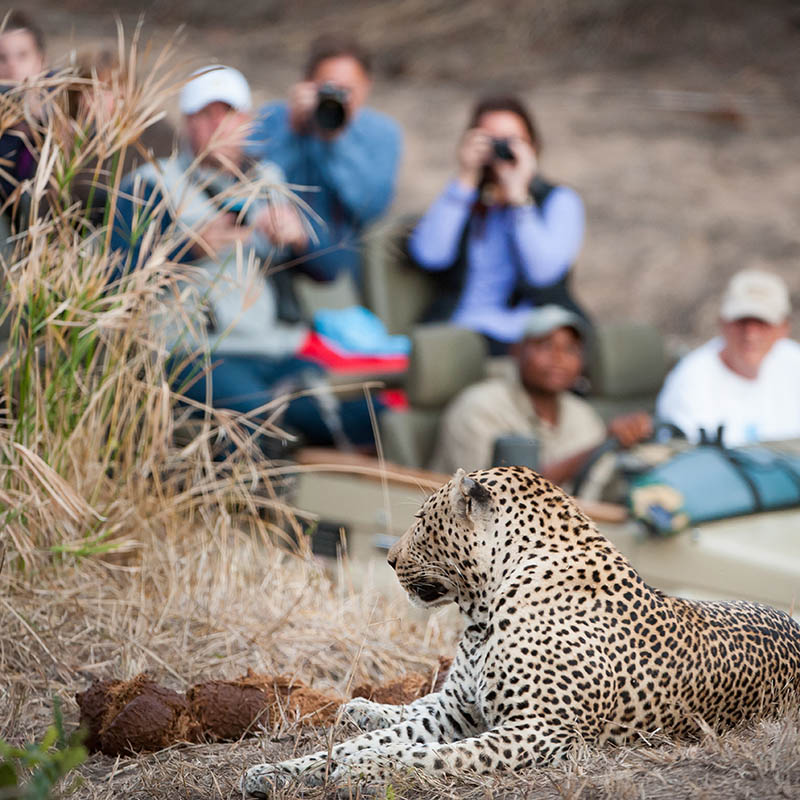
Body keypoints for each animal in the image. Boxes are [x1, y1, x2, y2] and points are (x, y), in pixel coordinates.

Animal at [242, 462, 800, 792]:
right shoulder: (459, 710)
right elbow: (371, 742)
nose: (390, 559)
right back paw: (360, 709)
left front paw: (361, 770)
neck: (482, 612)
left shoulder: (540, 730)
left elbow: (429, 755)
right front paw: (274, 771)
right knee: (407, 705)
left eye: (422, 521)